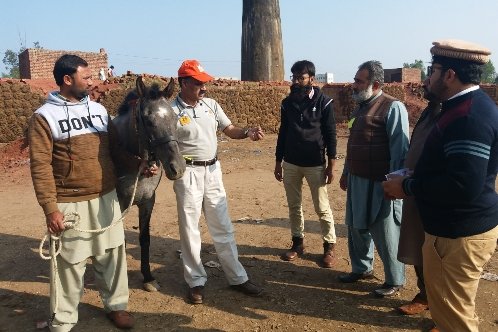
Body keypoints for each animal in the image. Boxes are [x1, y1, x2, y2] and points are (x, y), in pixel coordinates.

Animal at [113, 76, 187, 292]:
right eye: (148, 120)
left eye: (175, 118)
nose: (177, 167)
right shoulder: (119, 203)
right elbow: (119, 240)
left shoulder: (147, 201)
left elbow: (145, 239)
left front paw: (148, 277)